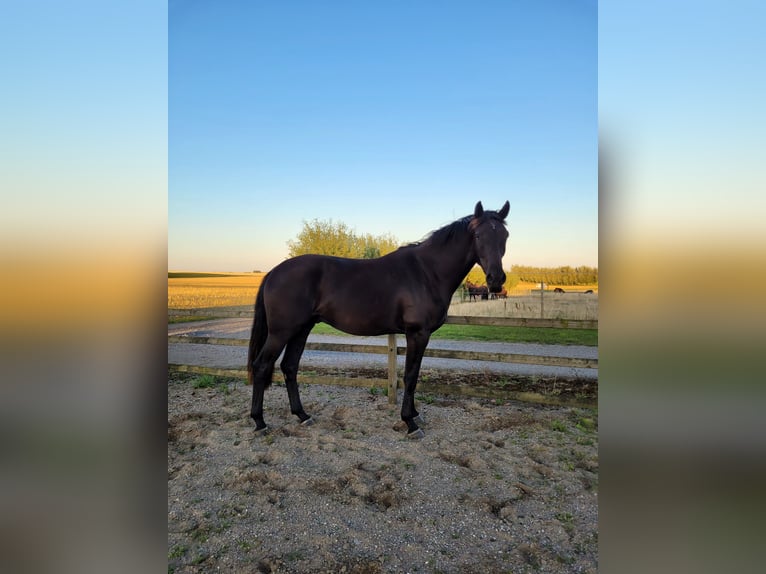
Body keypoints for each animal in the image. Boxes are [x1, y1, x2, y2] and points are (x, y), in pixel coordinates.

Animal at [246, 200, 510, 438]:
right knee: (261, 366)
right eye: (478, 235)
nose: (496, 280)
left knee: (289, 367)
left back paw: (302, 415)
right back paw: (259, 422)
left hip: (301, 329)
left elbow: (414, 374)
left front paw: (415, 415)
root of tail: (273, 272)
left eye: (505, 236)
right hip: (281, 332)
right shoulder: (418, 333)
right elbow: (410, 376)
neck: (427, 272)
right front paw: (410, 423)